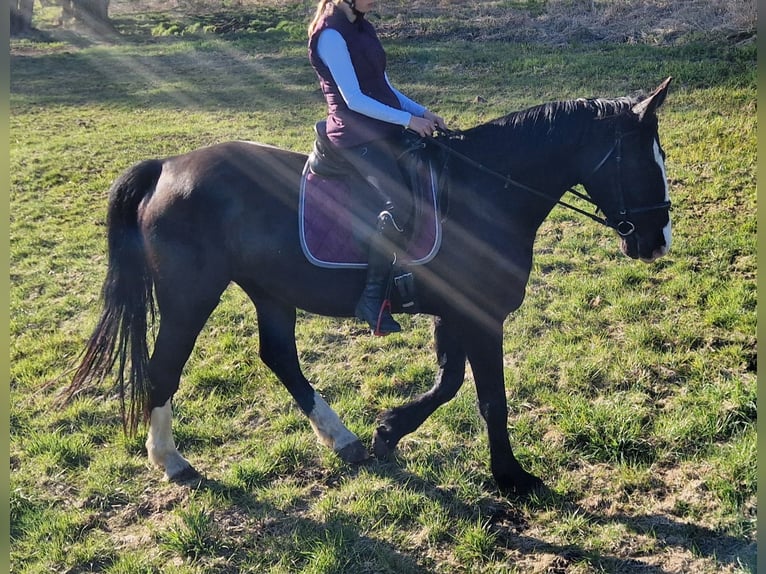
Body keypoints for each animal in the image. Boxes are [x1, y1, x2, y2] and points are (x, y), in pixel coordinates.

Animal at [69, 78, 673, 496]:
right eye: (646, 162)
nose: (658, 240)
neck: (483, 194)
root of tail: (167, 166)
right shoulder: (481, 317)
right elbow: (489, 399)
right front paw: (511, 478)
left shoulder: (455, 314)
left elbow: (449, 382)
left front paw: (388, 430)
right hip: (190, 297)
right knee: (164, 369)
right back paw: (172, 462)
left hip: (269, 289)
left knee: (279, 357)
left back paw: (343, 440)